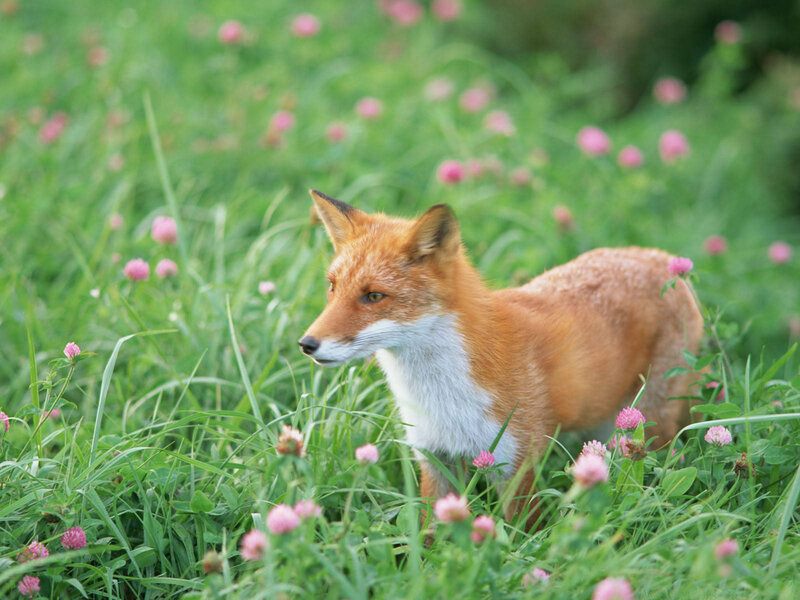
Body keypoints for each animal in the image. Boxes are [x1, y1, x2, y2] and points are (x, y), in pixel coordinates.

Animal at [299, 189, 704, 526]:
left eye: (373, 296)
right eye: (333, 287)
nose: (307, 343)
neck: (442, 396)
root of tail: (663, 258)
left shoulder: (516, 463)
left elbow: (520, 536)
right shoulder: (435, 458)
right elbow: (429, 537)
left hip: (647, 429)